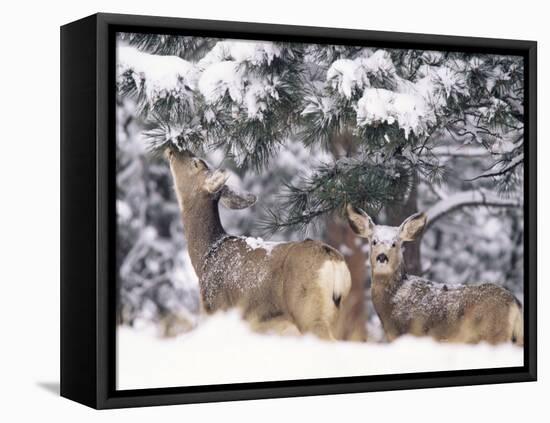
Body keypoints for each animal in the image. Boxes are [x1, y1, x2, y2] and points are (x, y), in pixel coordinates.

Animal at [166, 149, 352, 342]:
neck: (206, 255)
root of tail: (333, 258)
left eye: (196, 163)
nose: (173, 149)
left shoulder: (218, 308)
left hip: (309, 311)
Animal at [348, 207, 524, 346]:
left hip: (493, 333)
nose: (382, 257)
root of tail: (515, 303)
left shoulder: (412, 333)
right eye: (374, 241)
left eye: (394, 243)